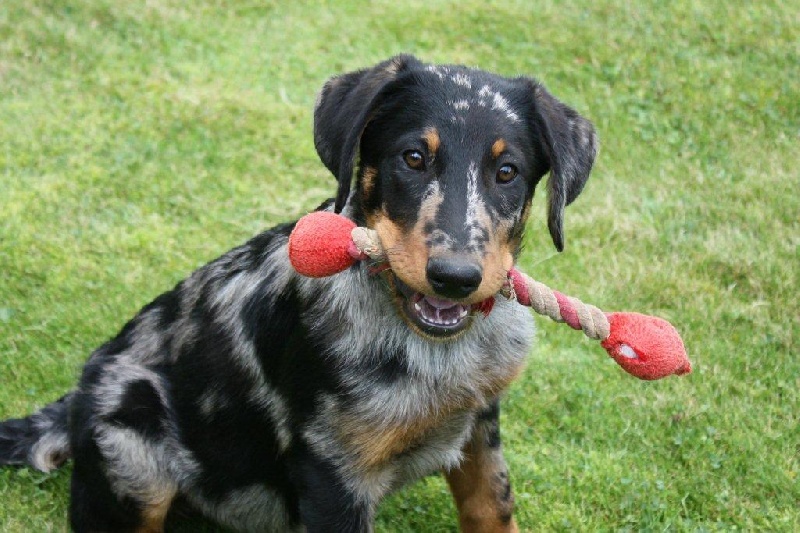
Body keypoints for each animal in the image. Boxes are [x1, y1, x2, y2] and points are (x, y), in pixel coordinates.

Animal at [0, 56, 592, 528]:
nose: (455, 277)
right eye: (413, 158)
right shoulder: (331, 471)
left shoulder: (479, 423)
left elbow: (492, 506)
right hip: (135, 457)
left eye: (507, 172)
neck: (432, 351)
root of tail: (75, 399)